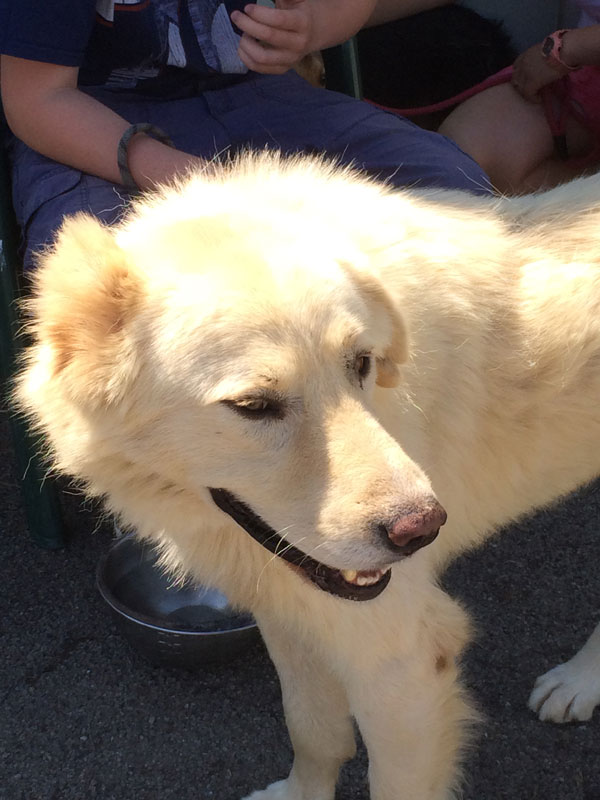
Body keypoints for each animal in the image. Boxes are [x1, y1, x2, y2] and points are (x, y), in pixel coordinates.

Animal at [15, 156, 600, 800]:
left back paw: (577, 683)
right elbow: (313, 730)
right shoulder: (291, 616)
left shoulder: (404, 666)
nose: (424, 530)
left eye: (361, 364)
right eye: (253, 405)